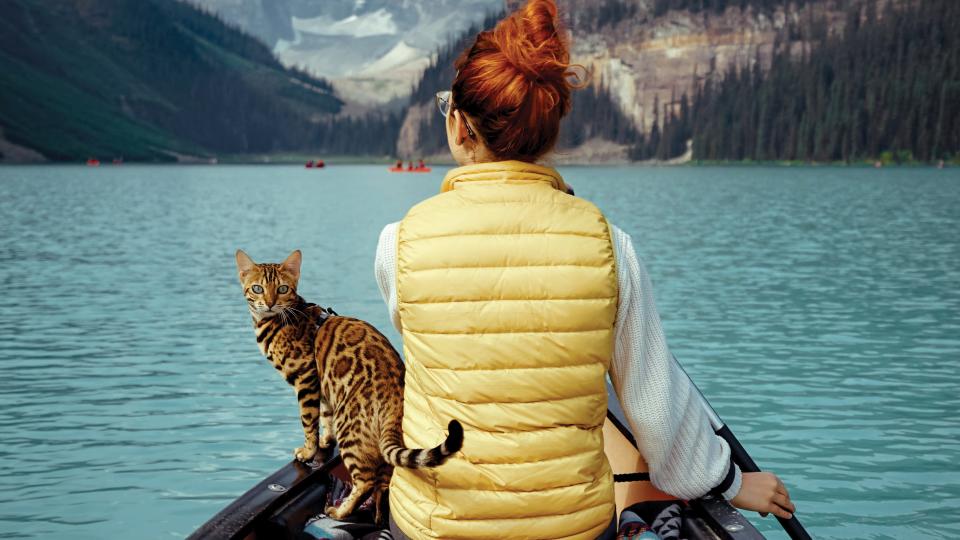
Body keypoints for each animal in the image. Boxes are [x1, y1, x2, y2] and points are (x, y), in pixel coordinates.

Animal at [231, 251, 460, 524]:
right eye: (258, 288)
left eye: (282, 289)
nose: (269, 303)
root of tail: (397, 398)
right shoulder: (324, 384)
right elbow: (325, 415)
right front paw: (326, 441)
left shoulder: (306, 377)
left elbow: (308, 421)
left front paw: (308, 451)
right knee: (382, 480)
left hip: (350, 426)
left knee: (366, 482)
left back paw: (340, 511)